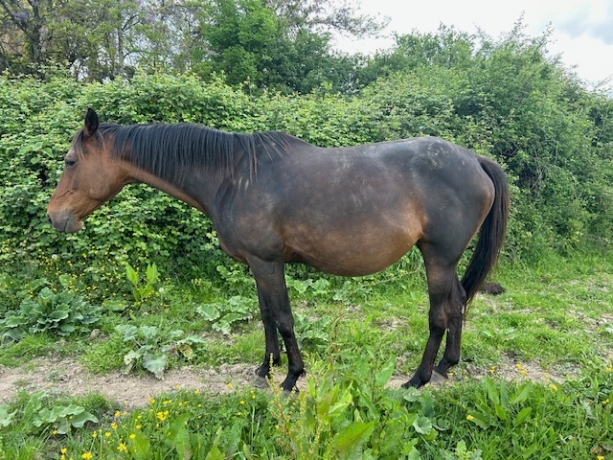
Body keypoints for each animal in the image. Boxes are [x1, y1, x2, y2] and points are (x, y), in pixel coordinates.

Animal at [46, 108, 506, 392]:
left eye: (70, 161)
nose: (54, 216)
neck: (233, 177)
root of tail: (473, 159)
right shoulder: (256, 264)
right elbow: (266, 317)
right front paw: (265, 370)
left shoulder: (268, 262)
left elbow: (283, 318)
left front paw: (291, 377)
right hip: (447, 260)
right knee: (459, 303)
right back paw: (447, 366)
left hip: (437, 257)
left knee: (439, 314)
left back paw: (419, 378)